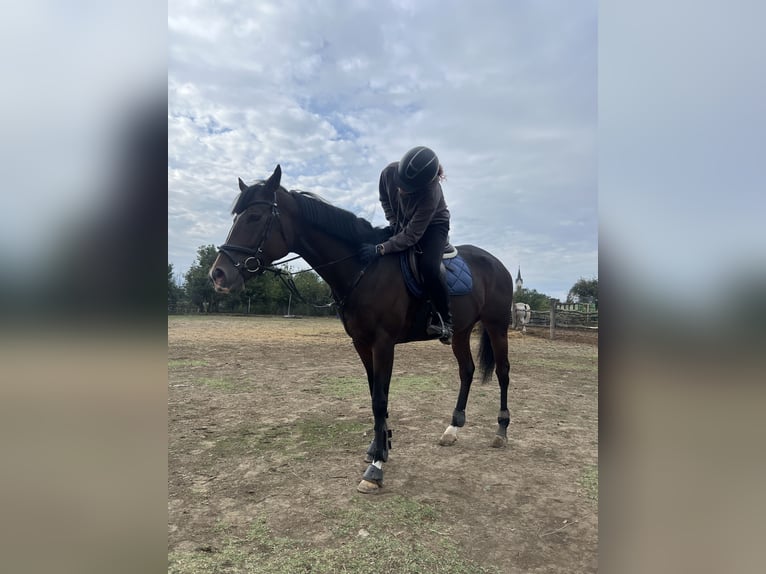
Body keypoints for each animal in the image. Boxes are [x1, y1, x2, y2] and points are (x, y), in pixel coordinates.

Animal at [209, 165, 514, 494]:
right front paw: (379, 446)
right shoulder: (362, 343)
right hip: (460, 331)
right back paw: (452, 428)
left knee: (503, 372)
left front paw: (376, 466)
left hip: (497, 327)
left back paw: (501, 431)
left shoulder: (383, 343)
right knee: (467, 370)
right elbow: (374, 395)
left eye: (254, 216)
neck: (364, 268)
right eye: (236, 217)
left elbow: (380, 399)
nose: (218, 274)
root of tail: (499, 264)